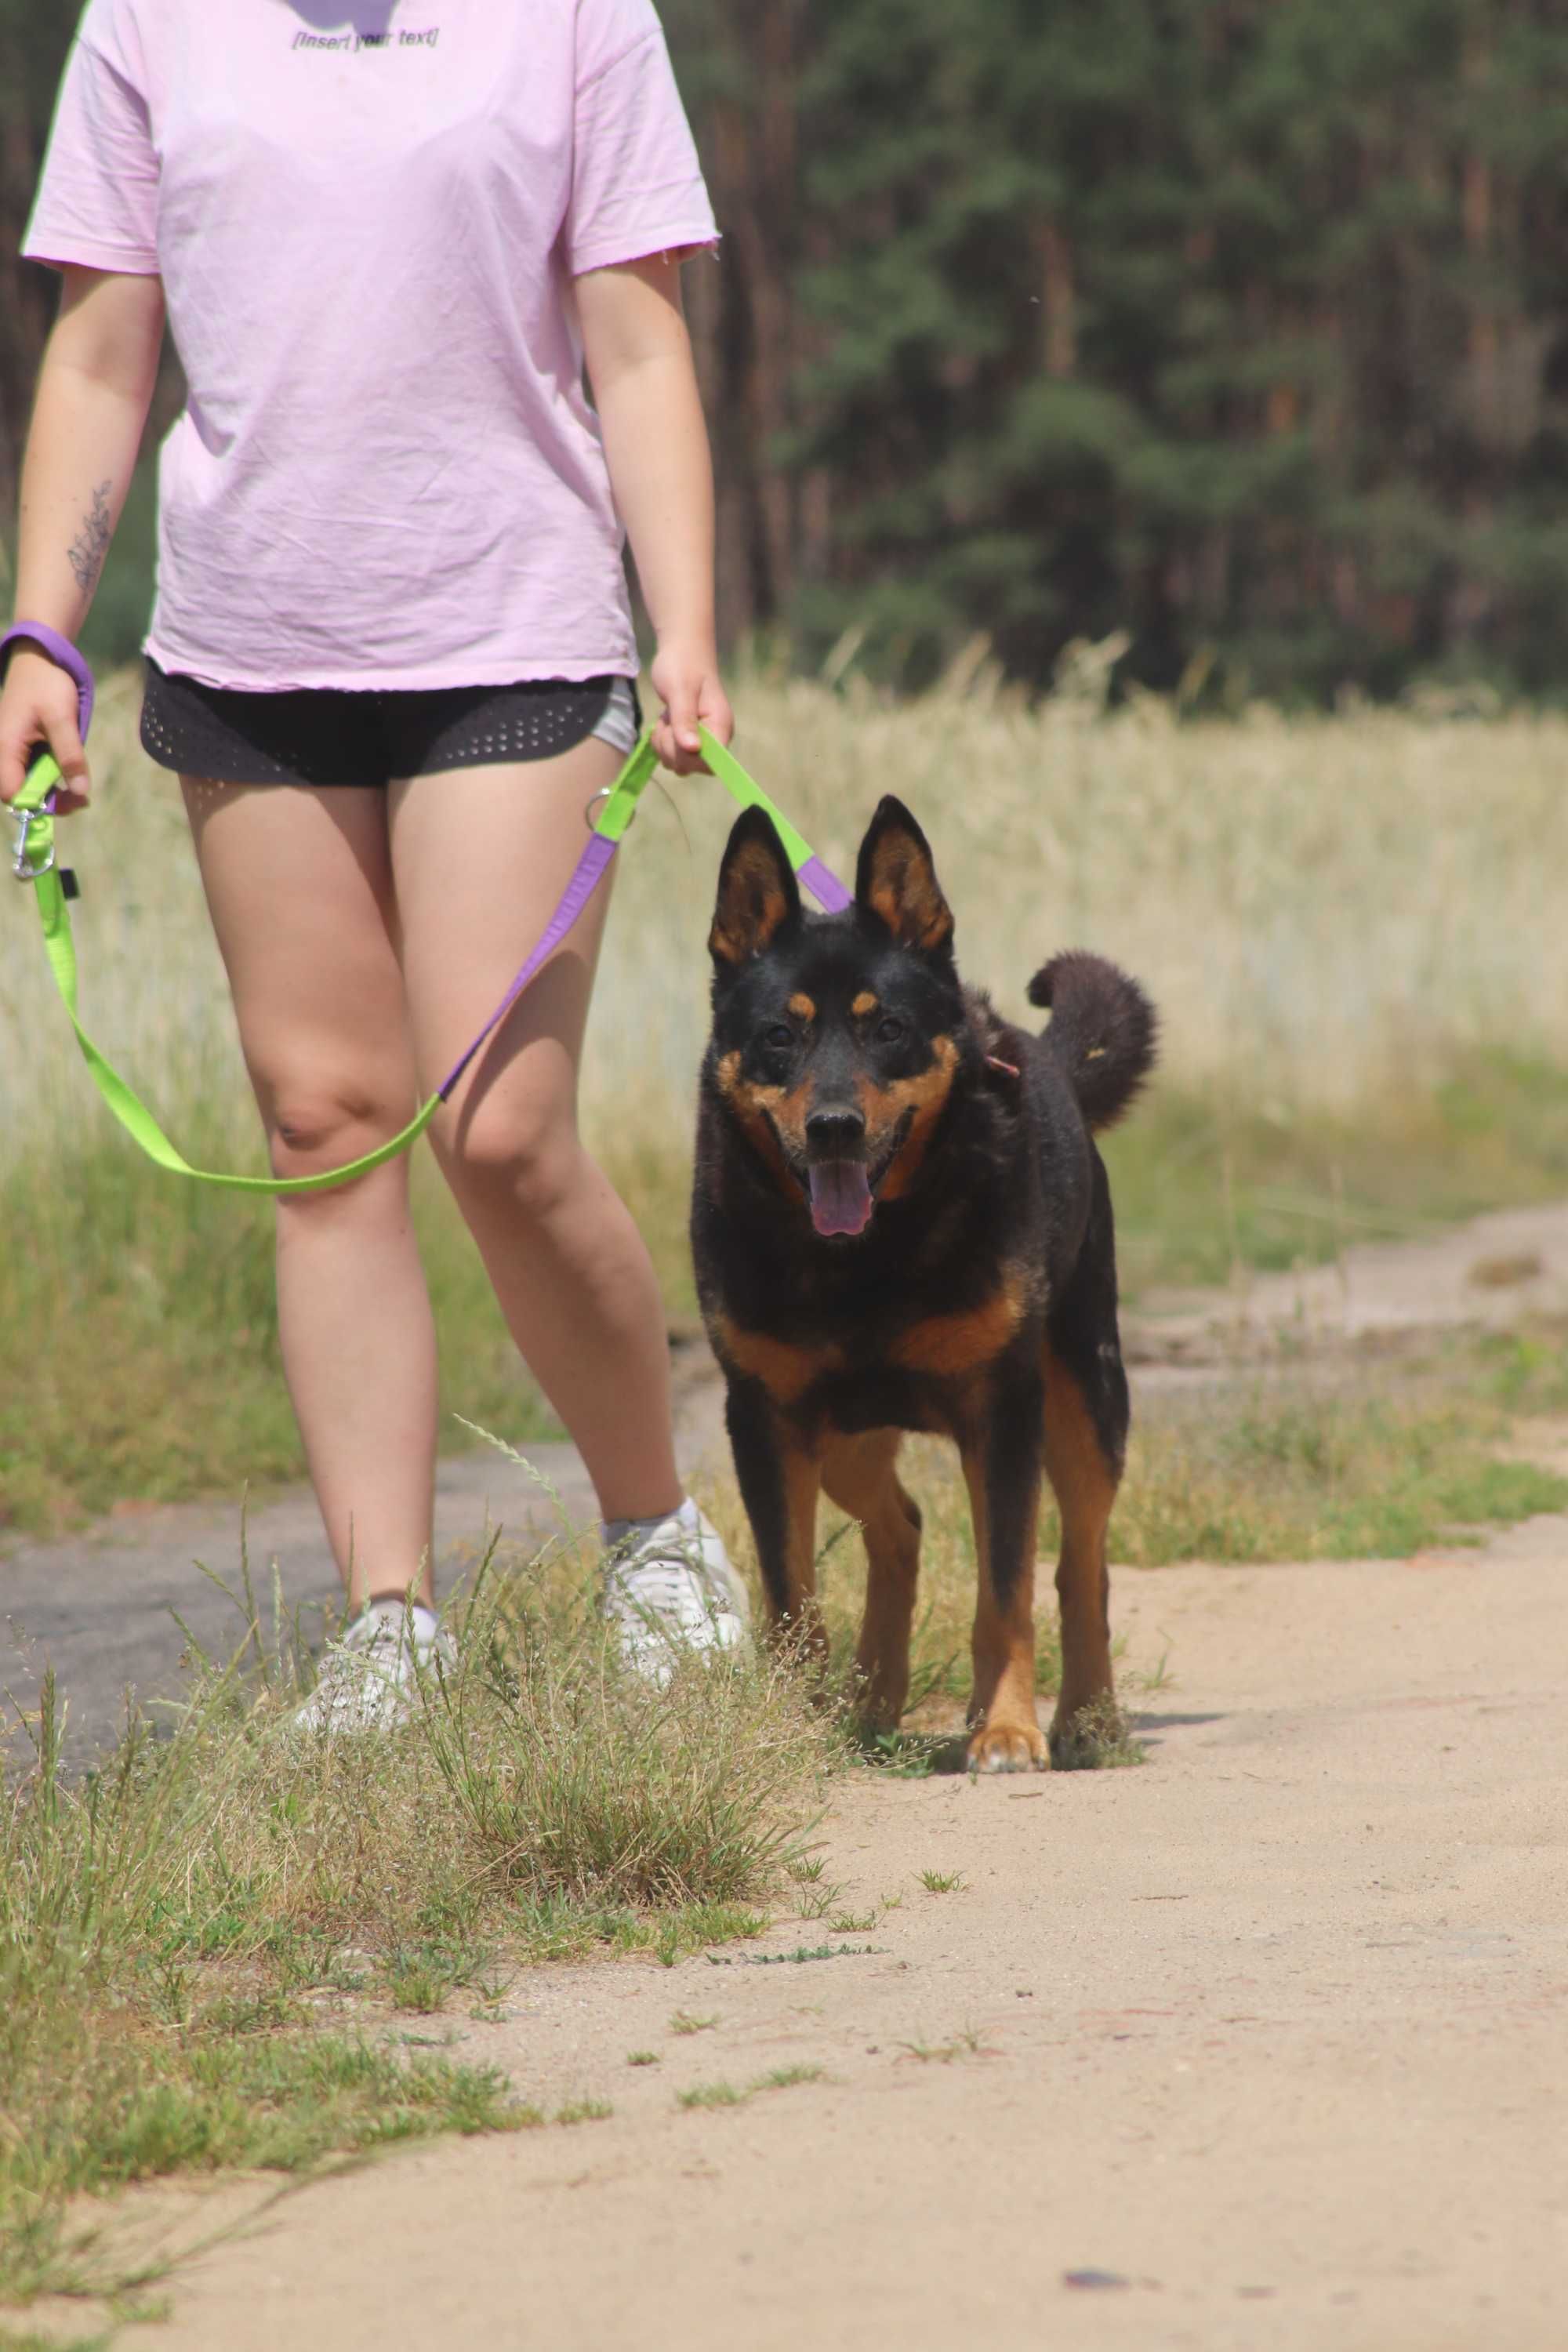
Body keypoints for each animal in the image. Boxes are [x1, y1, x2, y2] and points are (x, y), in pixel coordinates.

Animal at [691, 790, 1161, 1769]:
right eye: (779, 1036)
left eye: (888, 1029)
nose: (832, 1127)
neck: (865, 1258)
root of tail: (1050, 1061)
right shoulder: (765, 1417)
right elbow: (791, 1599)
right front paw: (797, 1725)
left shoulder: (1004, 1410)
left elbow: (1005, 1591)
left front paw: (1008, 1728)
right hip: (842, 1439)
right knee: (898, 1528)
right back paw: (870, 1703)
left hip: (1086, 1402)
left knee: (1081, 1567)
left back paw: (1084, 1717)